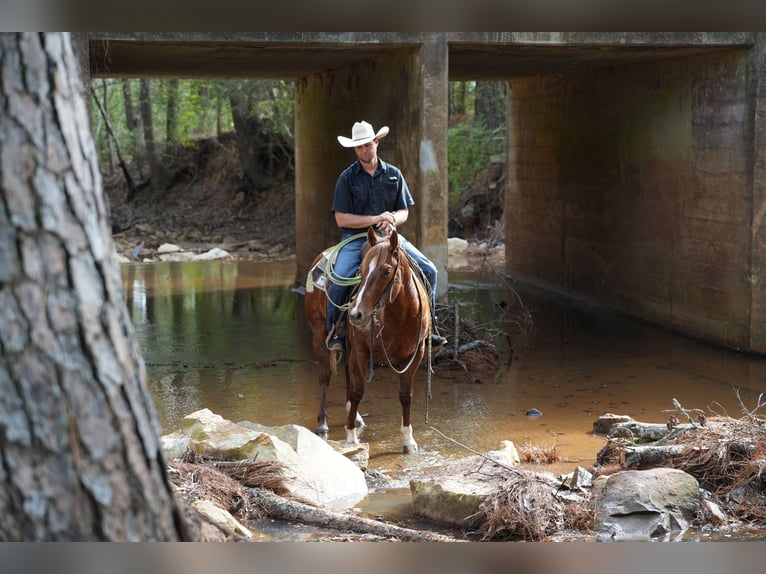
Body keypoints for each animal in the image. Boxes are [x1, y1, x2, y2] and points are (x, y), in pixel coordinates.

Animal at [304, 227, 436, 456]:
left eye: (386, 271)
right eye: (362, 269)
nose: (355, 314)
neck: (399, 315)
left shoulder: (414, 354)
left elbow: (405, 395)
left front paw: (409, 441)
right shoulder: (361, 350)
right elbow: (358, 392)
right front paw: (350, 439)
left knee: (347, 375)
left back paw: (355, 417)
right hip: (320, 337)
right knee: (325, 377)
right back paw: (323, 425)